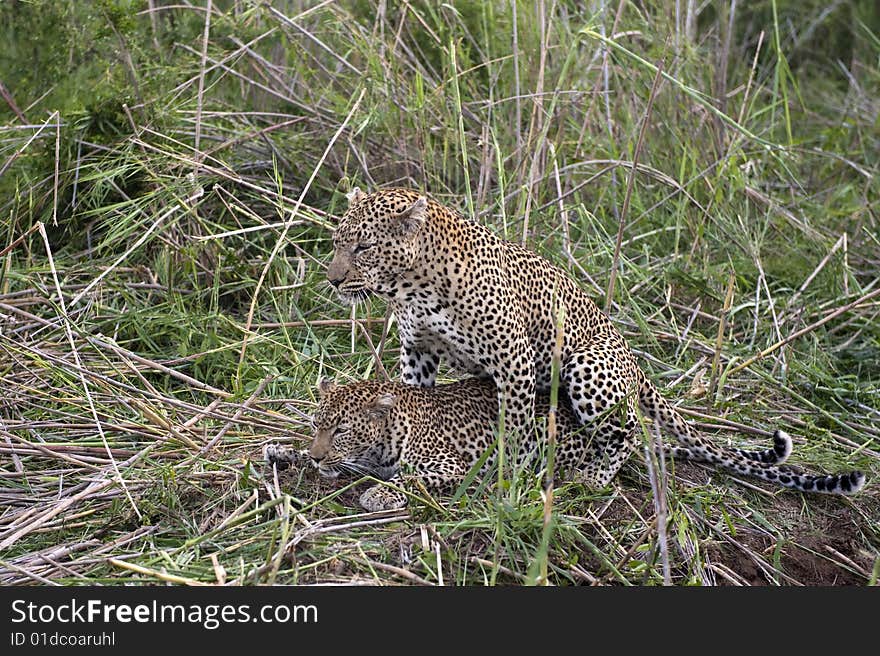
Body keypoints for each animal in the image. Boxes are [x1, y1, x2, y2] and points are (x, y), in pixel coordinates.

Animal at [324, 187, 868, 490]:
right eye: (335, 242)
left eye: (364, 246)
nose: (331, 279)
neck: (413, 284)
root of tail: (635, 363)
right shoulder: (417, 350)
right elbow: (414, 398)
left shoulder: (512, 359)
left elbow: (516, 427)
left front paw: (511, 474)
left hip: (585, 368)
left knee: (624, 436)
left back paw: (592, 479)